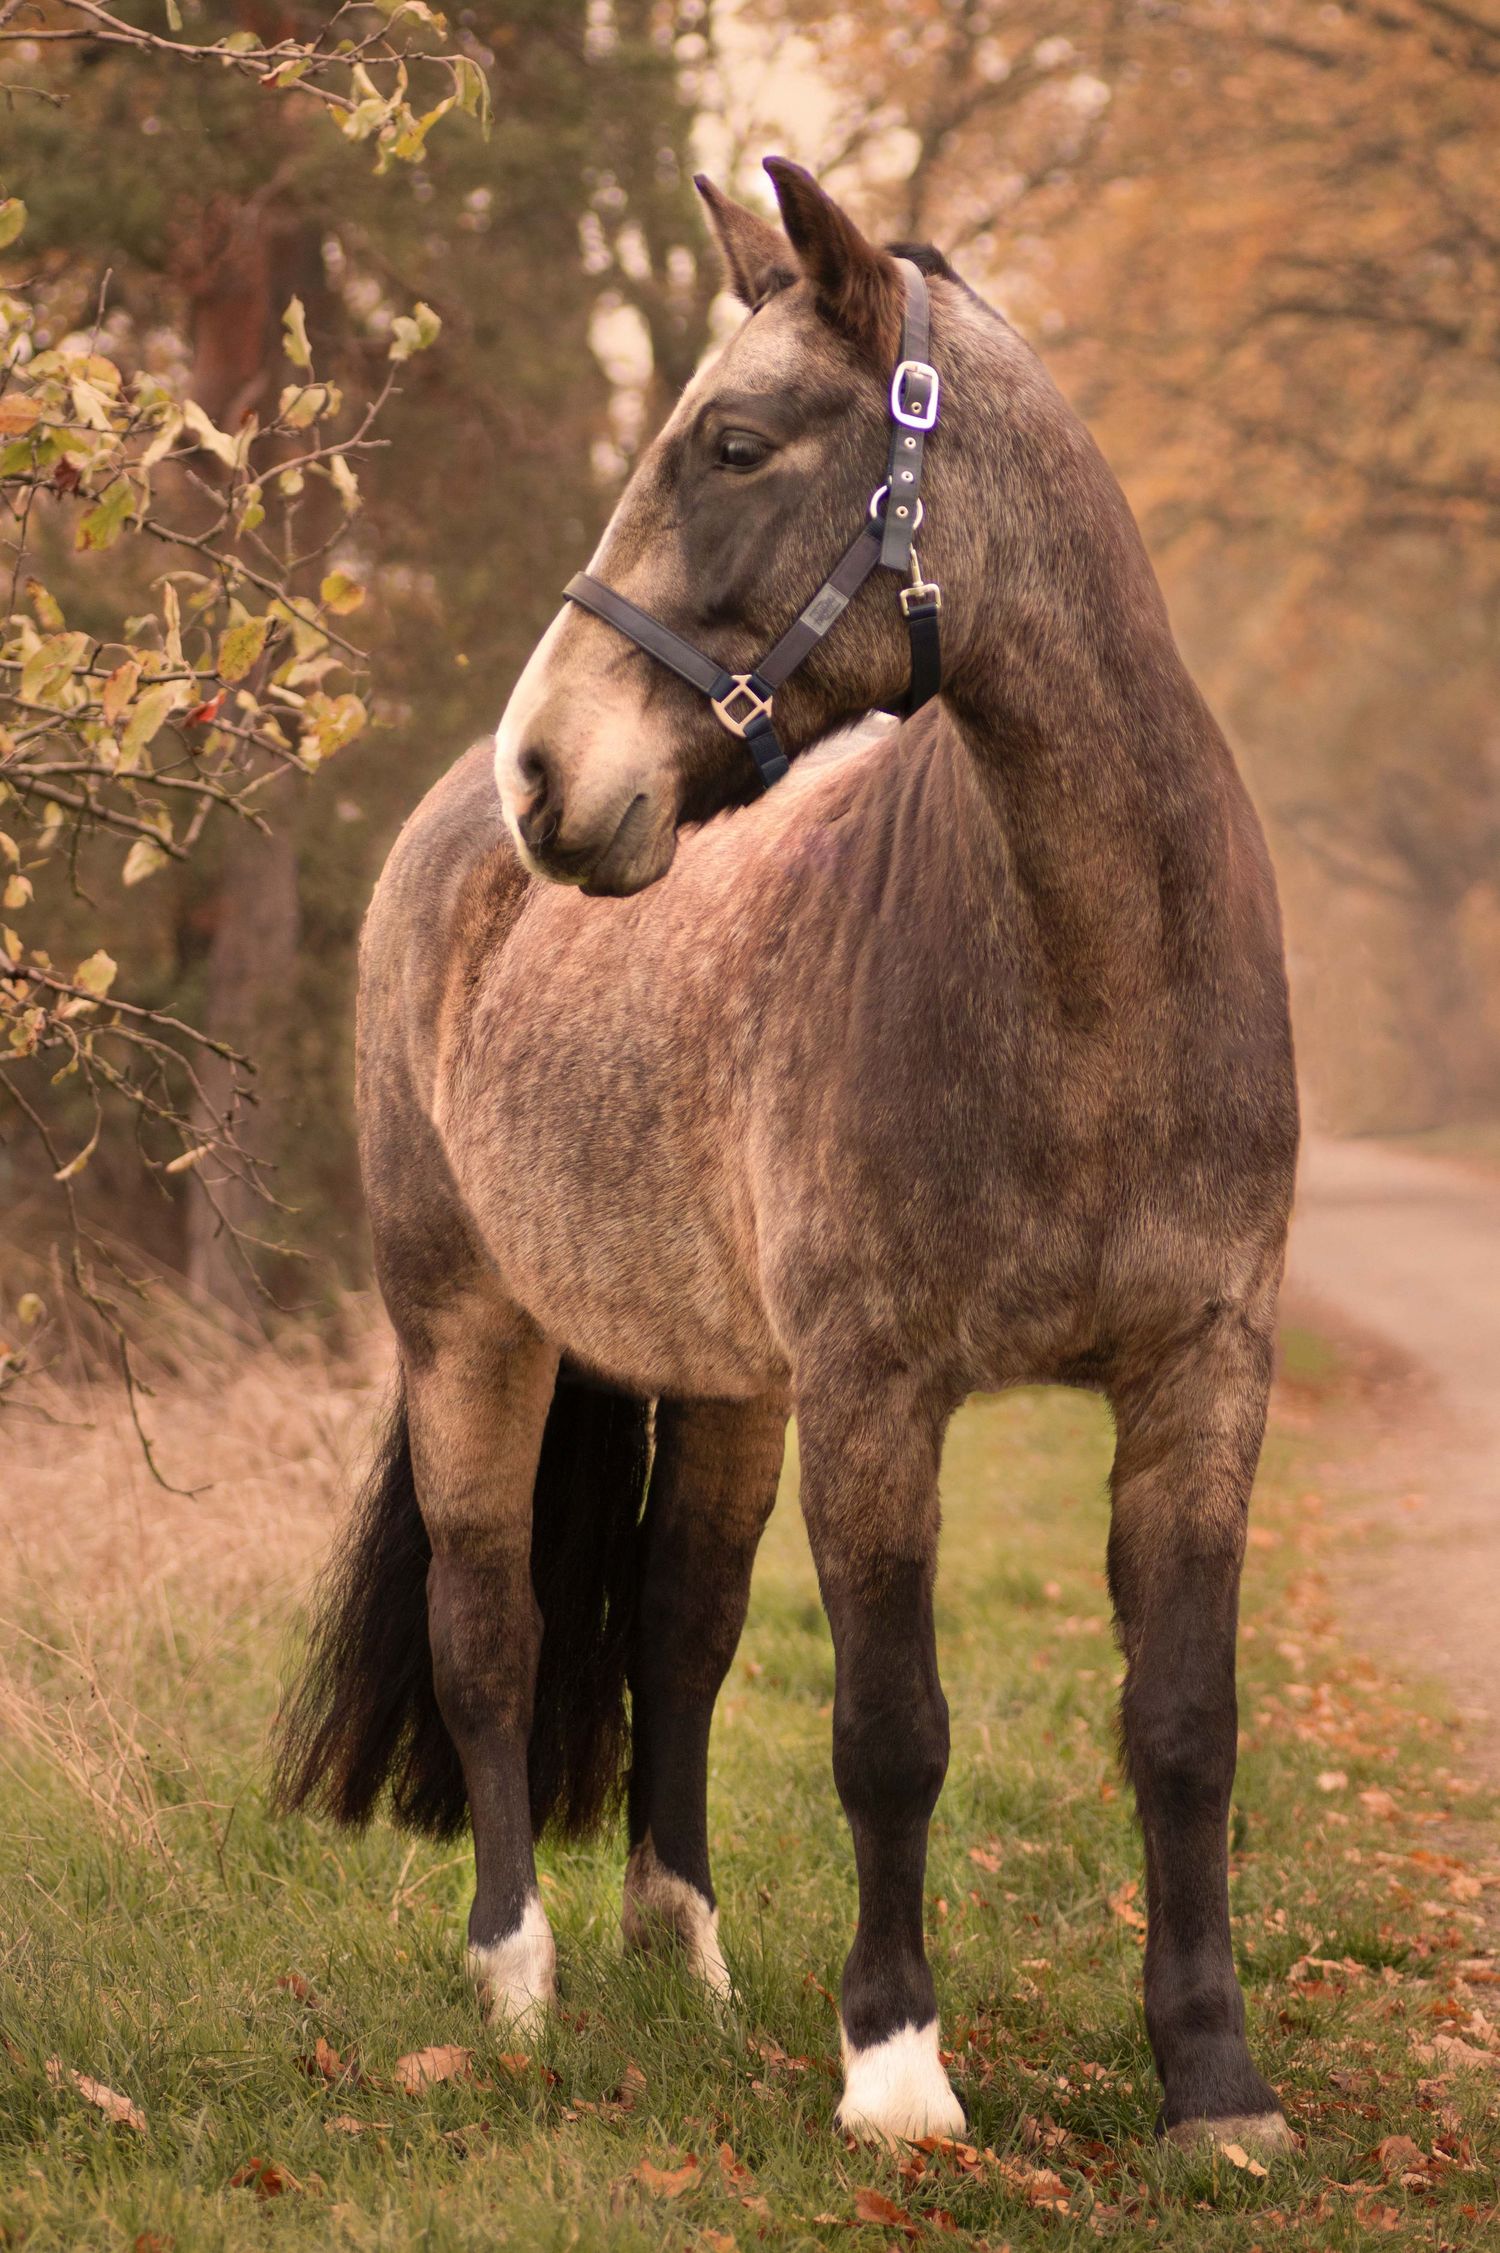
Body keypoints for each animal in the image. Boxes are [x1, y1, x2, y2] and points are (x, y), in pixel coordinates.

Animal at [274, 158, 1299, 2153]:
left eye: (735, 444)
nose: (547, 774)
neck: (1085, 982)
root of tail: (443, 841)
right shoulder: (880, 1392)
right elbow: (891, 1729)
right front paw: (895, 2067)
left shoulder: (1203, 1375)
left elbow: (1185, 1727)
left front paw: (1213, 2085)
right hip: (469, 1329)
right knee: (491, 1624)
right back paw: (515, 1977)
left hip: (729, 1381)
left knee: (678, 1623)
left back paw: (688, 1953)